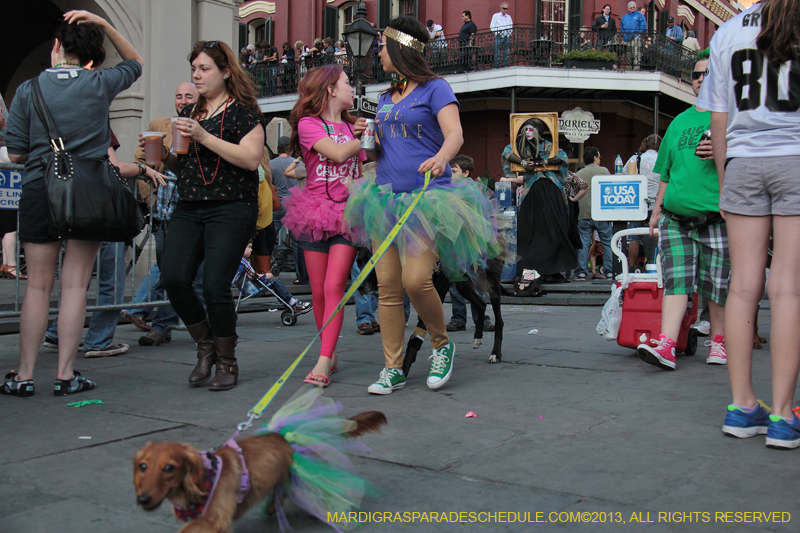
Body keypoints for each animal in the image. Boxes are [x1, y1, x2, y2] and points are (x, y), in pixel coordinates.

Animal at [134, 410, 388, 528]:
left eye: (169, 468)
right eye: (142, 467)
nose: (142, 499)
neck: (207, 476)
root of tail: (286, 437)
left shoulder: (214, 520)